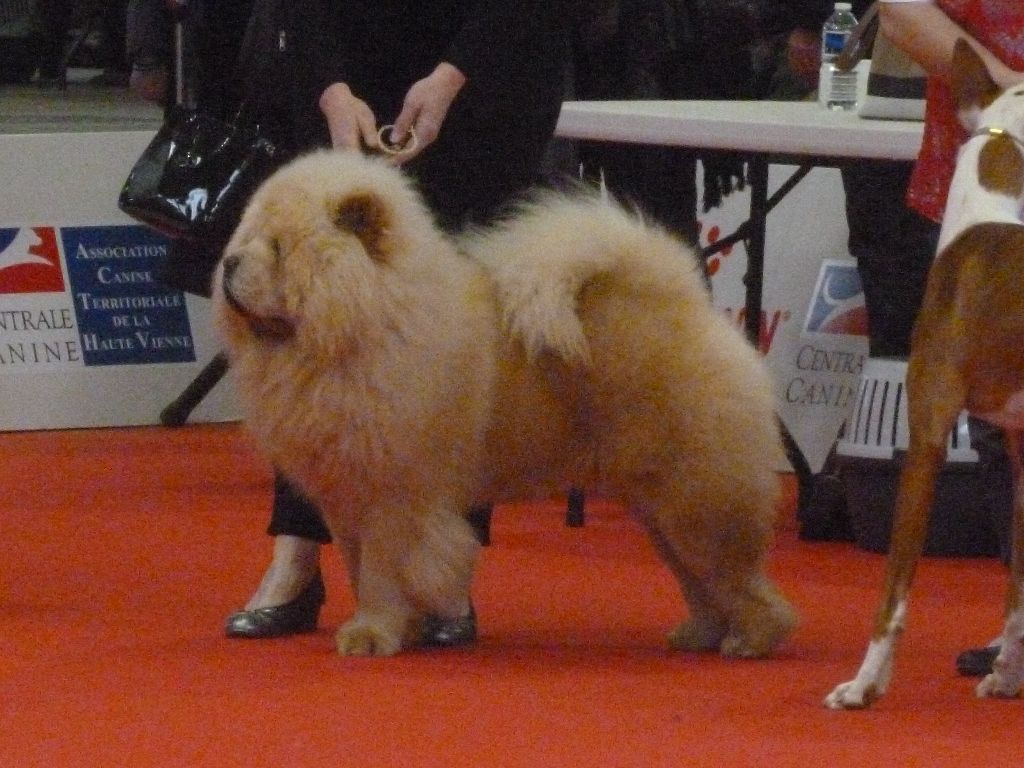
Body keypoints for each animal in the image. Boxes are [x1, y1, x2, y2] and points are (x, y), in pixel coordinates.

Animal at [211, 150, 794, 663]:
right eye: (245, 237)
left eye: (279, 248)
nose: (229, 262)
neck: (368, 323)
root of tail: (691, 306)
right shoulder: (346, 498)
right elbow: (358, 569)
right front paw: (397, 628)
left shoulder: (393, 496)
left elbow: (379, 573)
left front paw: (370, 636)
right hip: (662, 510)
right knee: (701, 582)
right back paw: (700, 634)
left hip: (698, 502)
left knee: (739, 578)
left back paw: (751, 641)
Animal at [823, 37, 1024, 708]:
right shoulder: (1020, 448)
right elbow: (1017, 589)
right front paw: (1007, 674)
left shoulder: (929, 434)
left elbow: (893, 592)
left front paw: (864, 683)